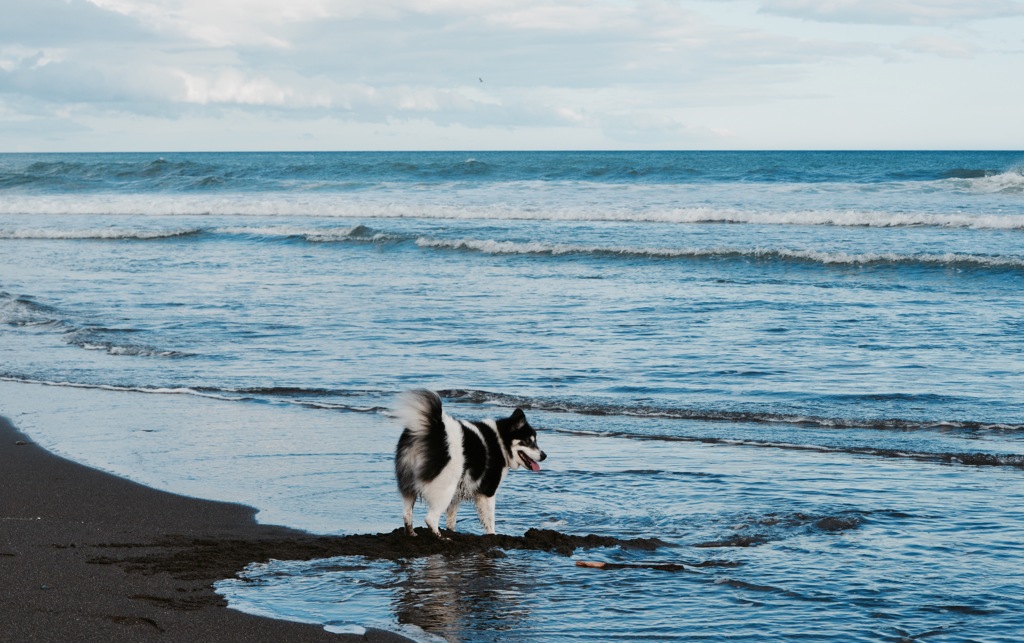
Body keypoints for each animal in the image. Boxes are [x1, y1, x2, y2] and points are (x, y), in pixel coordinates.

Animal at [395, 391, 548, 536]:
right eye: (529, 441)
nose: (544, 456)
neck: (501, 441)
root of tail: (431, 427)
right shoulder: (487, 493)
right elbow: (490, 521)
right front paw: (492, 536)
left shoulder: (457, 495)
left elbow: (451, 519)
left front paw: (451, 530)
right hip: (445, 488)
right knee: (430, 519)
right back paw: (442, 538)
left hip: (409, 484)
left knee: (406, 514)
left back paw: (413, 534)